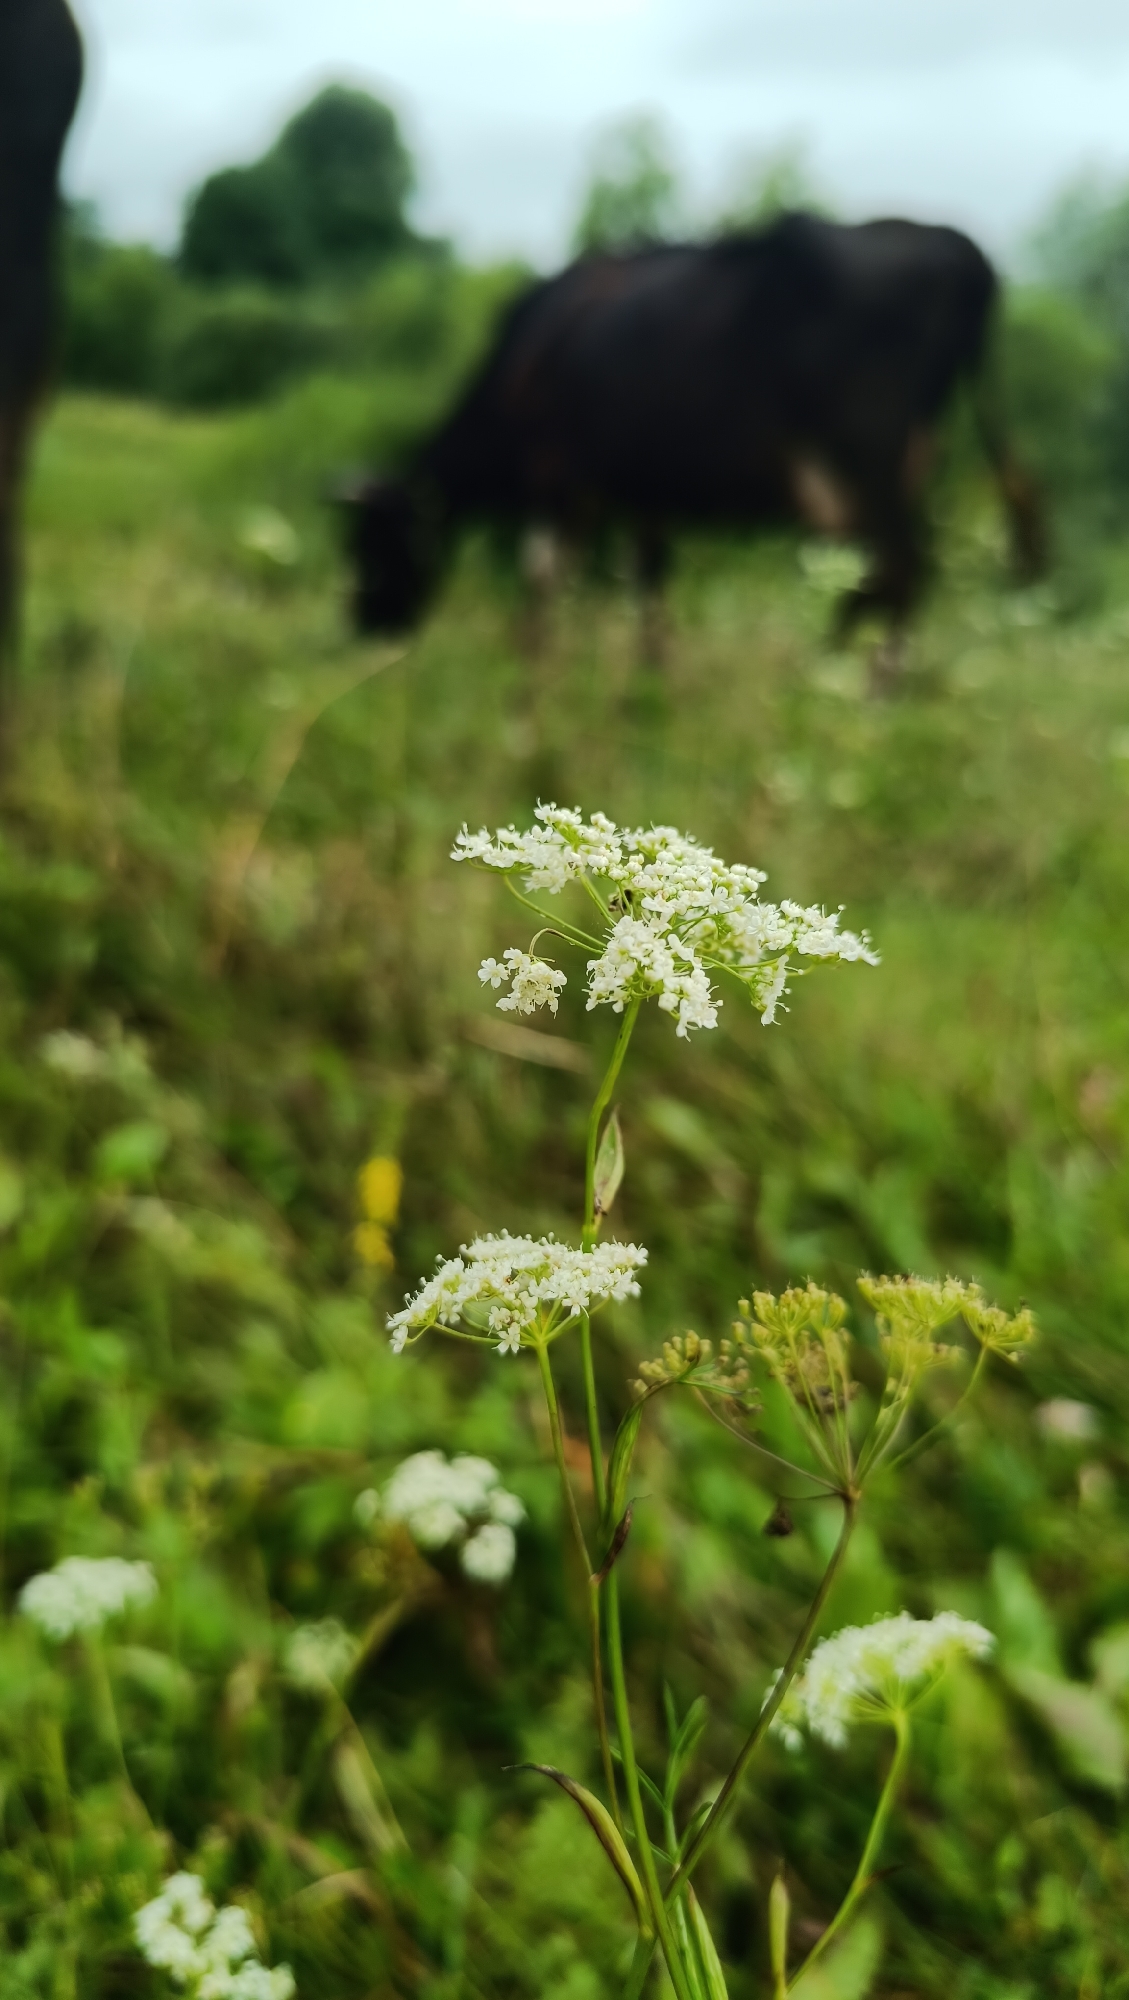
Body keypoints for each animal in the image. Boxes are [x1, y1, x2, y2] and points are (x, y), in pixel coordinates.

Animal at [339, 212, 1044, 669]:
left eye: (370, 546)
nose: (362, 626)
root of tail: (951, 243)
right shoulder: (643, 493)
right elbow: (649, 591)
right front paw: (649, 696)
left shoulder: (560, 480)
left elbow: (541, 592)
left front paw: (528, 718)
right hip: (903, 459)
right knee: (891, 575)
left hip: (865, 455)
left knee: (904, 569)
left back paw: (854, 686)